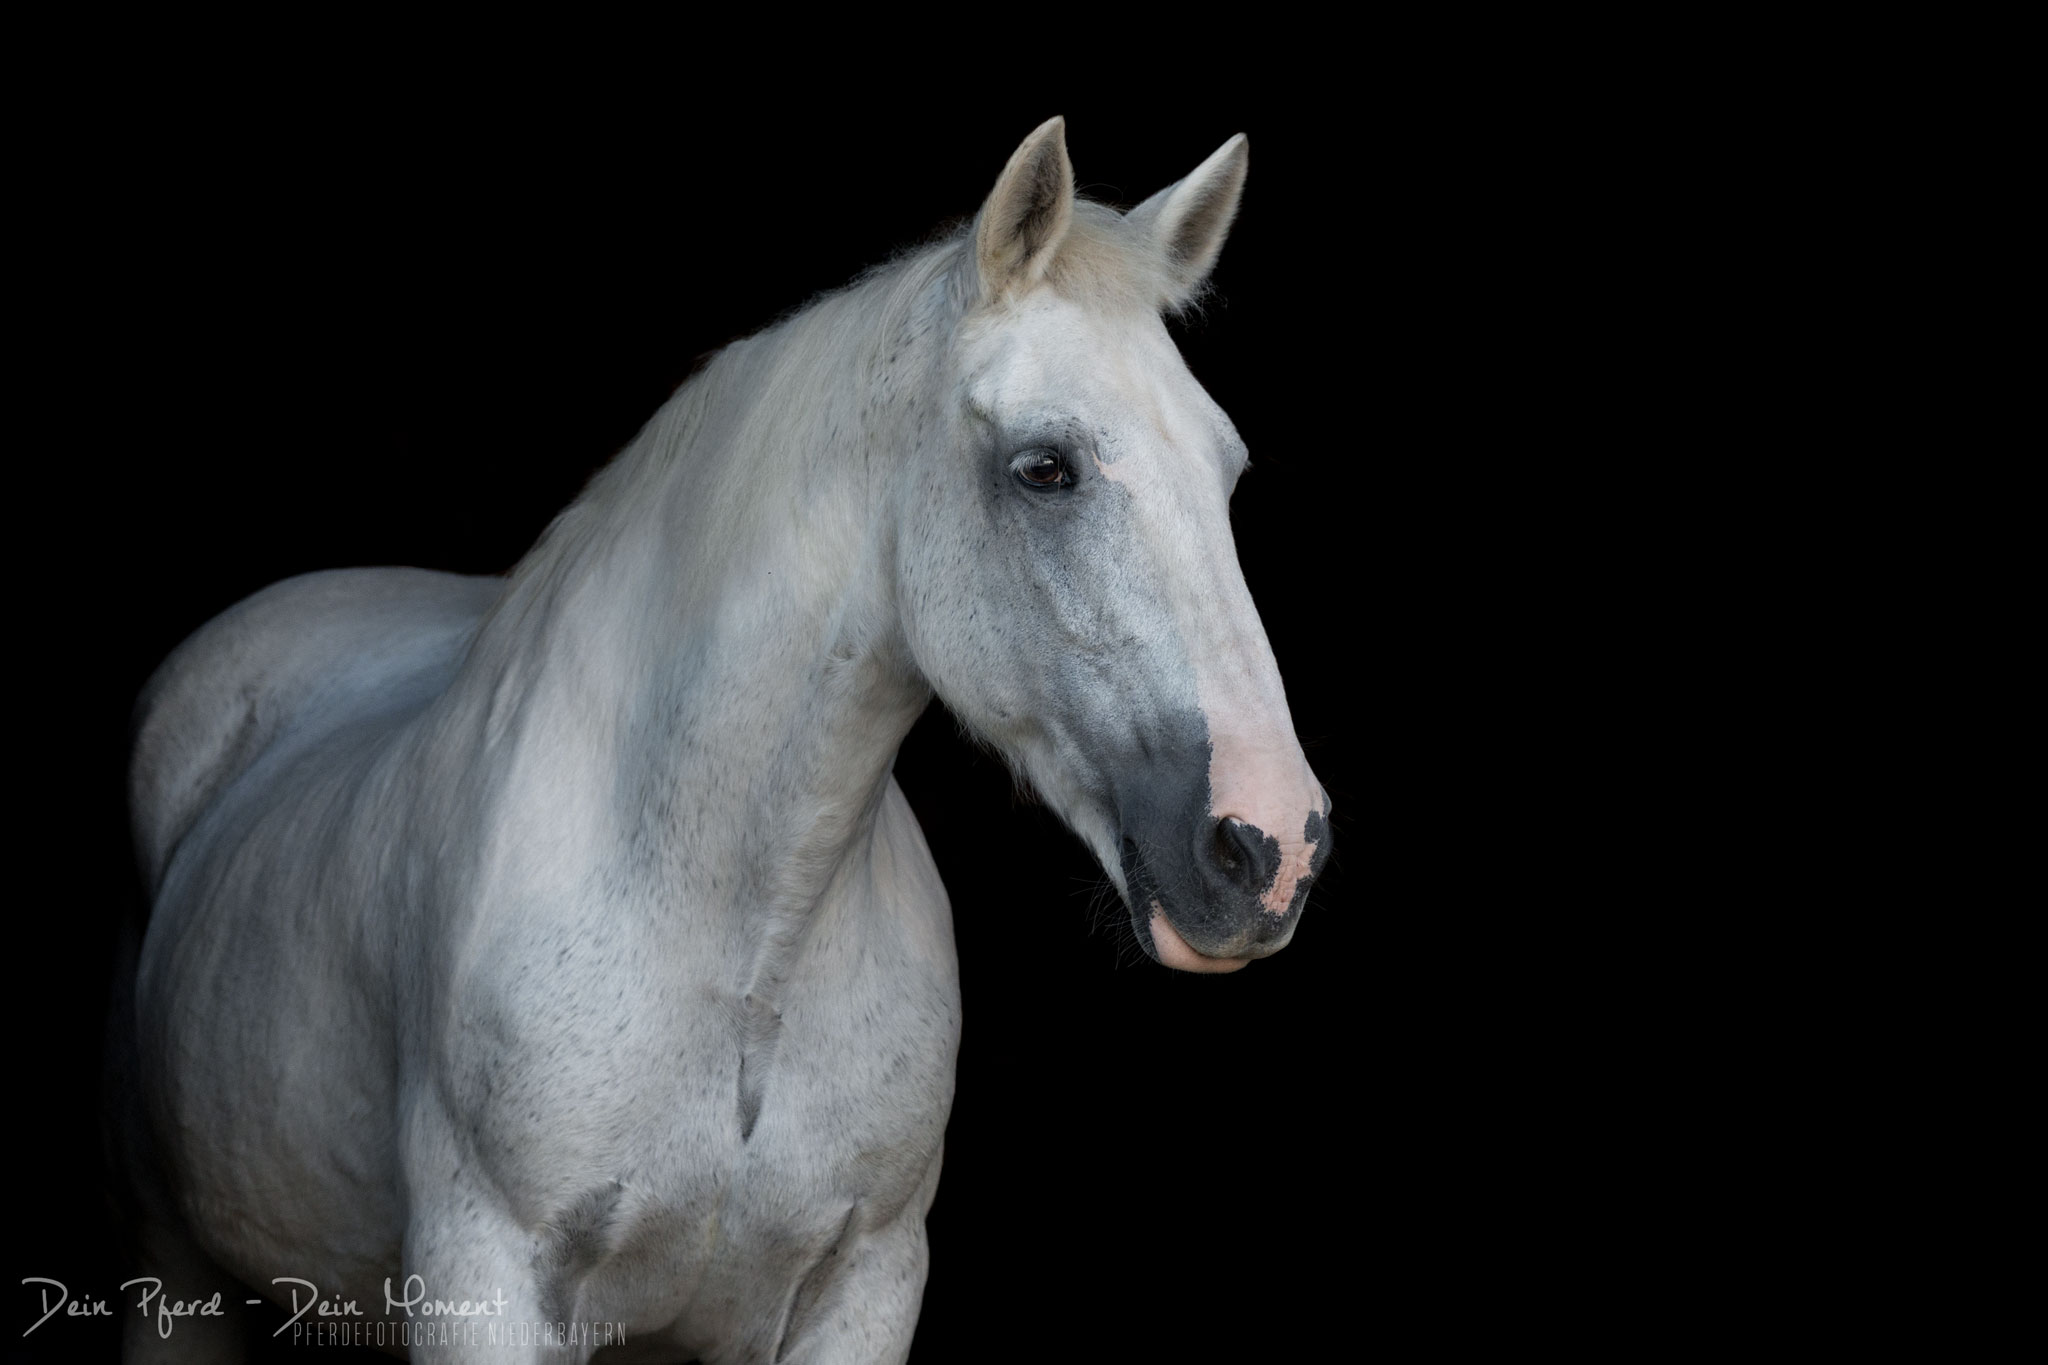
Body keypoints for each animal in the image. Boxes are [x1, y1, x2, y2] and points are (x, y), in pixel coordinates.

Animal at [112, 117, 1331, 1364]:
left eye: (1227, 471)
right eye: (1044, 468)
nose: (1269, 847)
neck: (742, 952)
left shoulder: (868, 1285)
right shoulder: (482, 1280)